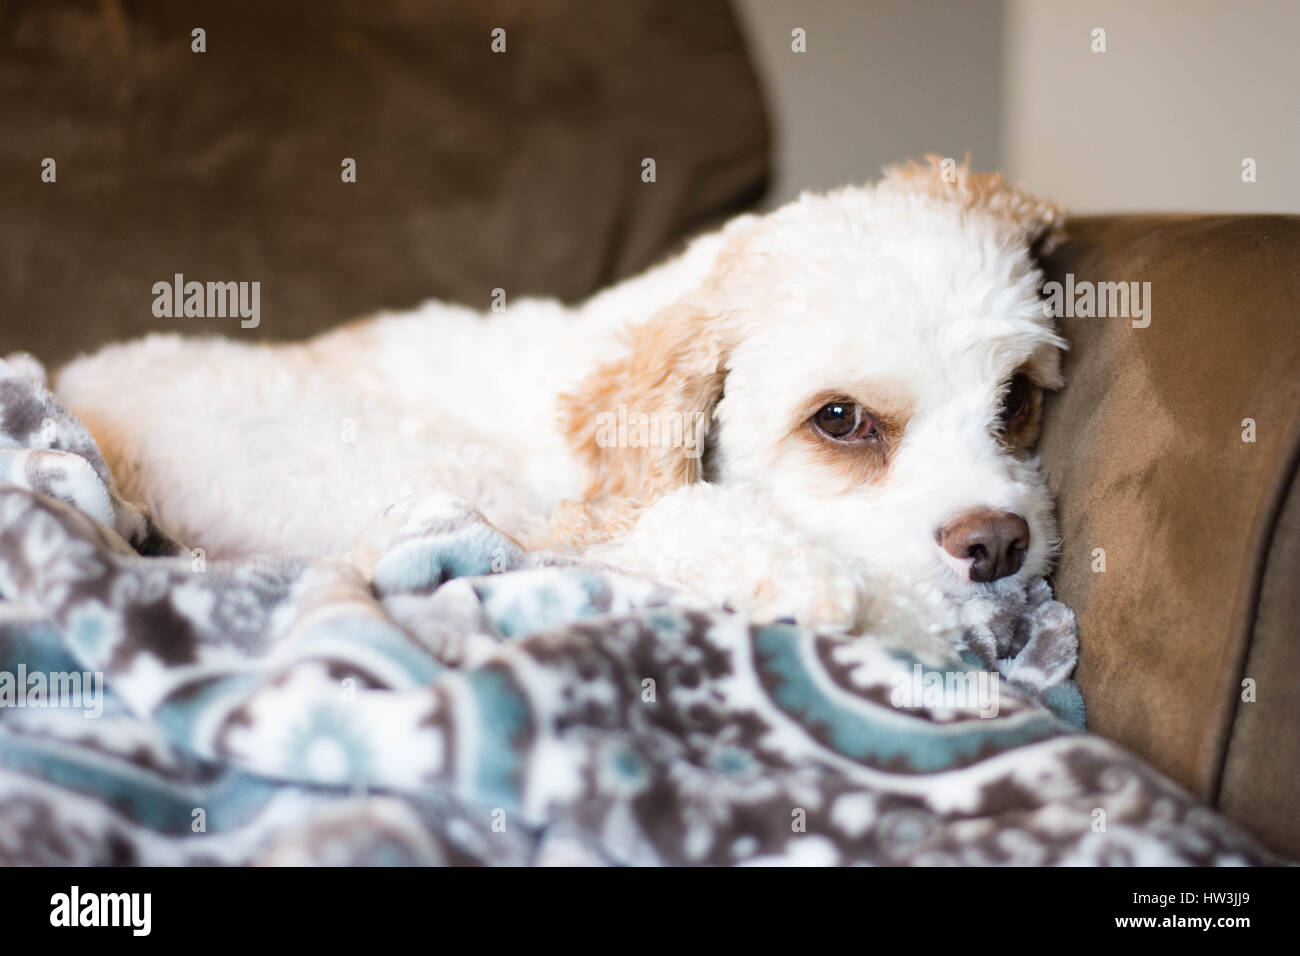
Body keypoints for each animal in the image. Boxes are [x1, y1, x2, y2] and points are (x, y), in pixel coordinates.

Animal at [53, 157, 1066, 634]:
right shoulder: (578, 524)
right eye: (841, 420)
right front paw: (805, 579)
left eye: (1015, 398)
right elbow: (684, 520)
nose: (999, 544)